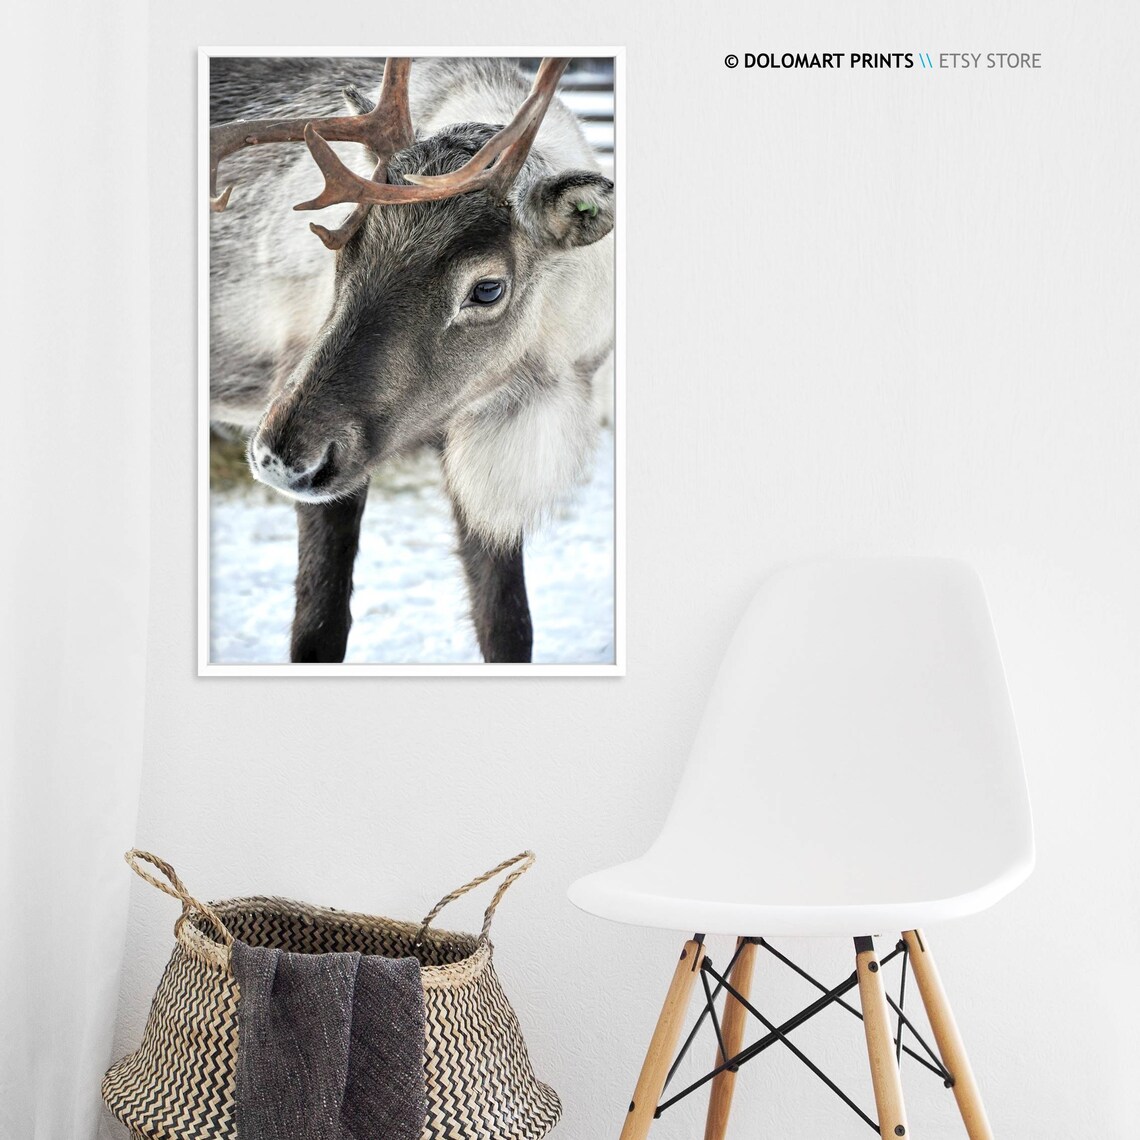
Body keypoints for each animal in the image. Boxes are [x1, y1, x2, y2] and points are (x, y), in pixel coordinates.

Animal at [209, 57, 615, 664]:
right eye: (342, 251)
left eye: (487, 288)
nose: (281, 459)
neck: (546, 377)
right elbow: (318, 631)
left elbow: (507, 625)